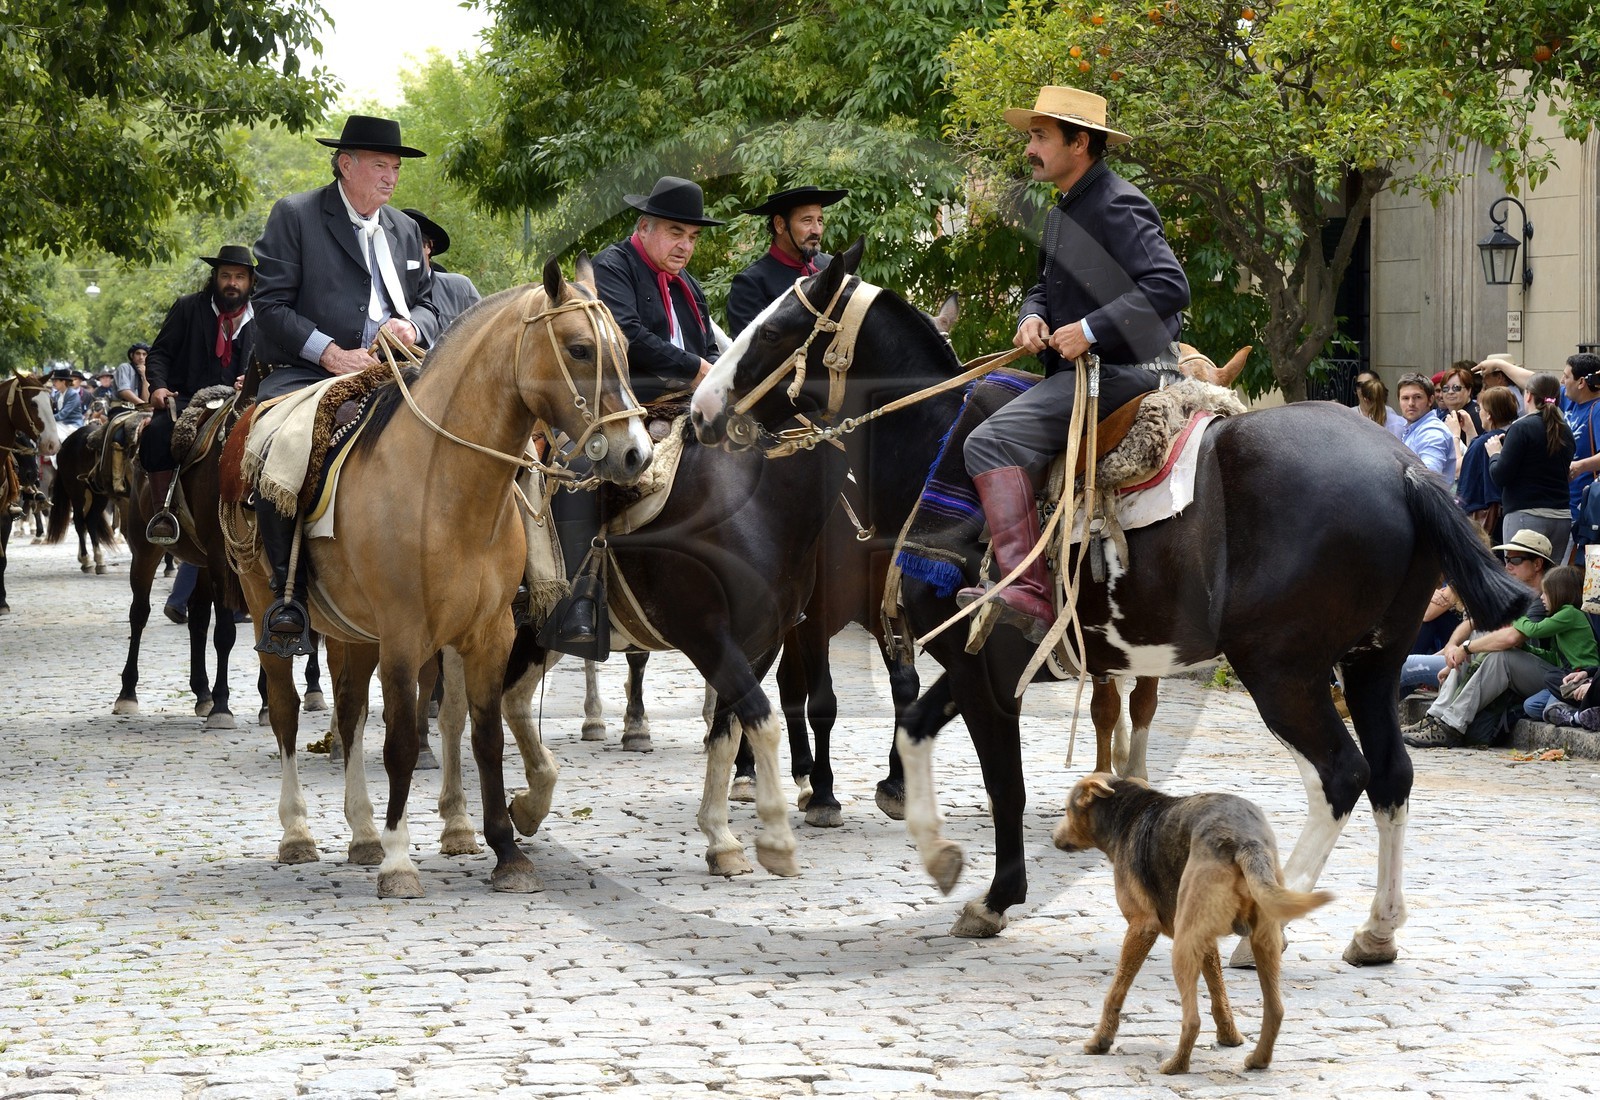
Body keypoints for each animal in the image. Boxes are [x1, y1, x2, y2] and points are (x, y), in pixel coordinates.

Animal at [238, 257, 653, 898]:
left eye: (626, 350)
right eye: (580, 349)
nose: (637, 454)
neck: (445, 486)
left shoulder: (489, 634)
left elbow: (484, 735)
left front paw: (506, 849)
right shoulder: (405, 637)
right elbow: (404, 742)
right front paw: (399, 862)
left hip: (356, 632)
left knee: (351, 712)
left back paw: (362, 833)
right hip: (268, 610)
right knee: (285, 711)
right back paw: (299, 833)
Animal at [690, 241, 1529, 963]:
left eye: (779, 328)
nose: (700, 408)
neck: (935, 448)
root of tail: (1404, 470)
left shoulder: (985, 669)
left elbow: (1002, 781)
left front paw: (996, 896)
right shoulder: (982, 659)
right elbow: (918, 729)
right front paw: (938, 853)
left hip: (1284, 672)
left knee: (1341, 776)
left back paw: (1267, 920)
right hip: (1372, 663)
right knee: (1390, 776)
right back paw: (1377, 931)